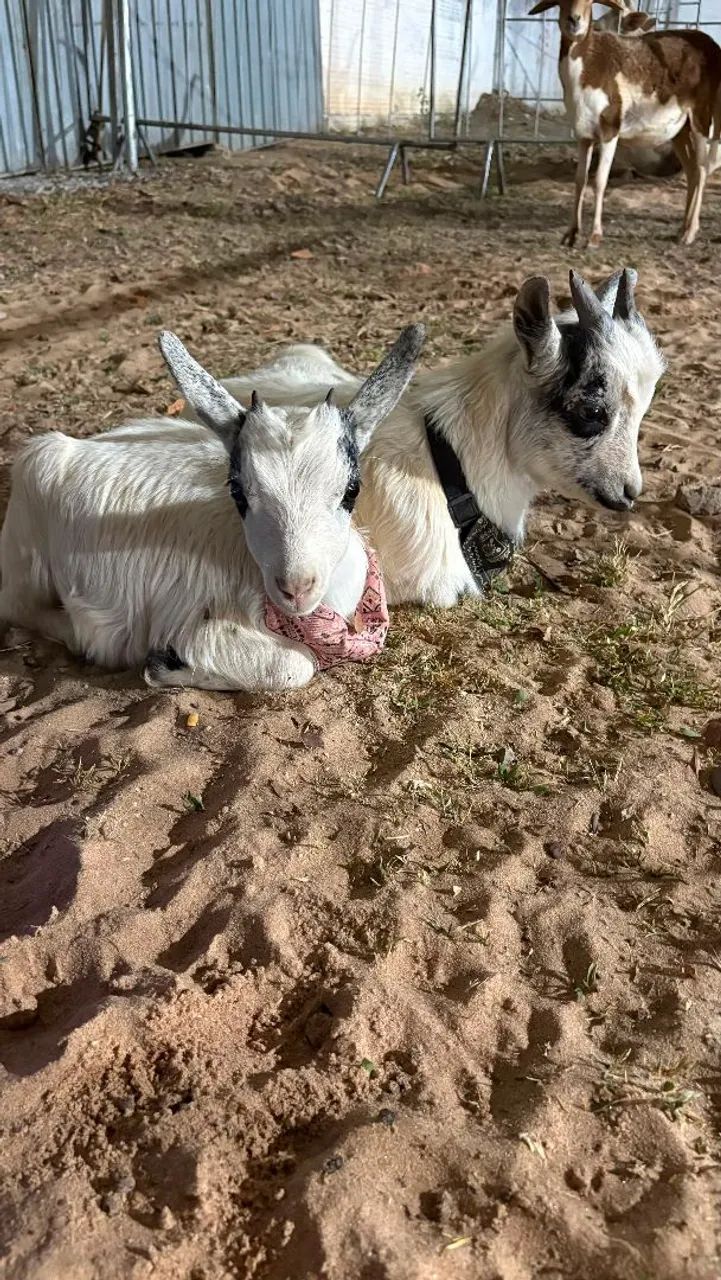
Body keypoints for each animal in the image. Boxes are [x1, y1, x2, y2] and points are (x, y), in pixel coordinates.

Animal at [0, 326, 424, 691]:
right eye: (238, 491)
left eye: (352, 489)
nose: (296, 588)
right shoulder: (205, 627)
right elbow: (293, 665)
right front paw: (164, 665)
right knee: (21, 607)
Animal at [529, 0, 721, 246]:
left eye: (590, 2)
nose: (574, 21)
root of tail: (712, 46)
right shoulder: (584, 135)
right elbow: (580, 180)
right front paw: (571, 234)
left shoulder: (610, 129)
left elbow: (600, 181)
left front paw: (594, 237)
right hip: (680, 130)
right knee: (692, 172)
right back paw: (681, 230)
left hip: (700, 119)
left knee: (703, 169)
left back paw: (690, 233)